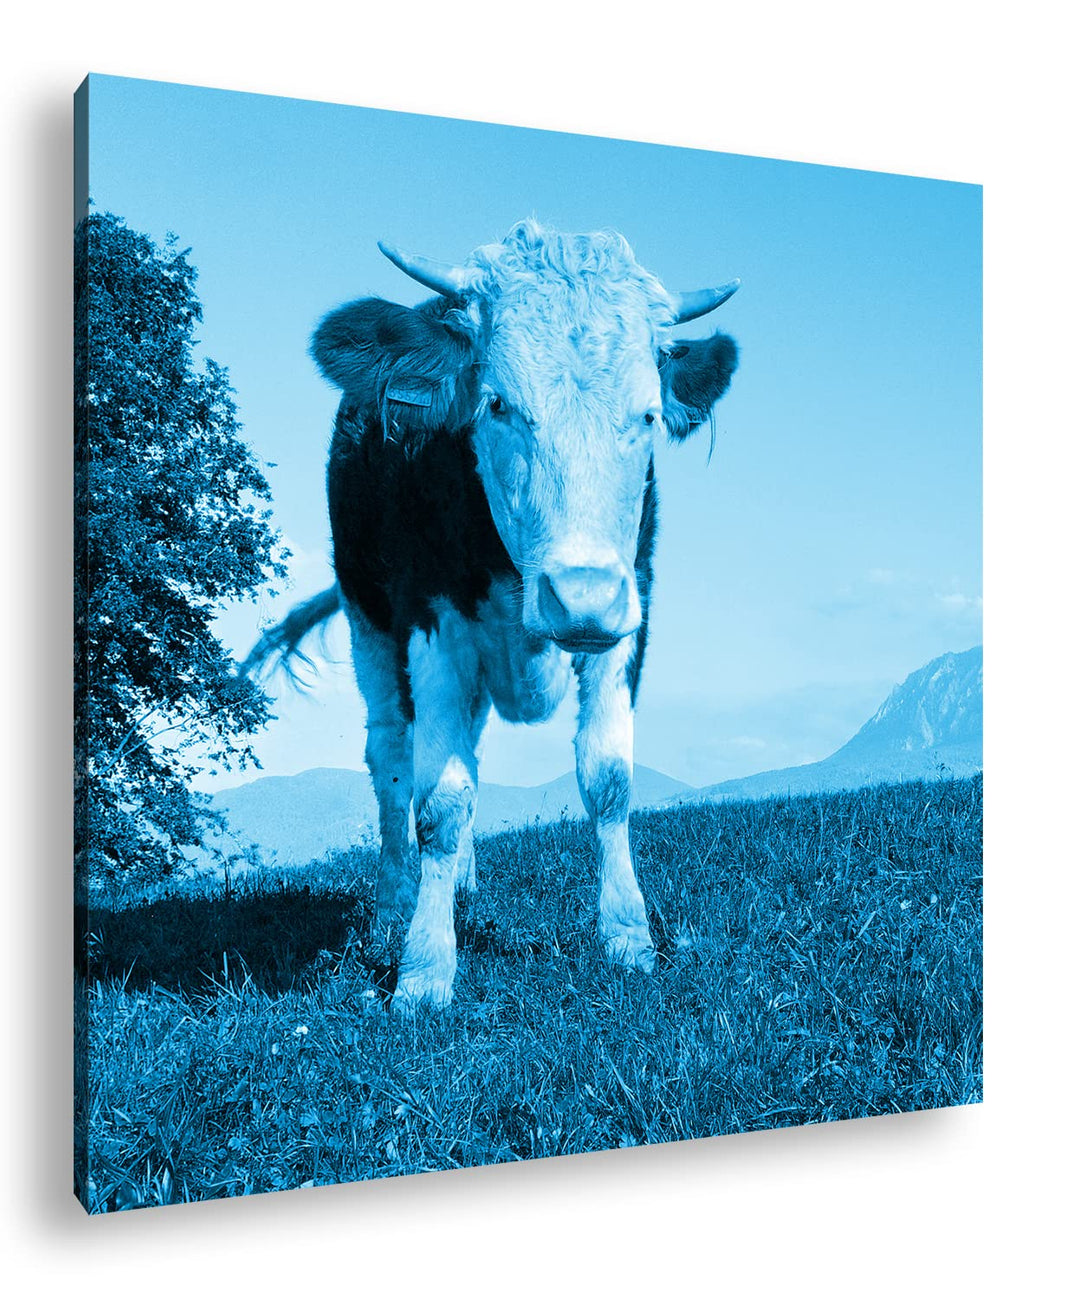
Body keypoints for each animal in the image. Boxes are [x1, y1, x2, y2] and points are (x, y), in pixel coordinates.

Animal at [246, 219, 739, 1010]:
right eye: (498, 404)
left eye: (648, 414)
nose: (579, 597)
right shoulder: (431, 626)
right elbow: (439, 804)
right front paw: (423, 969)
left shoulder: (630, 603)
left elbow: (608, 780)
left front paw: (629, 938)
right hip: (368, 622)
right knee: (390, 762)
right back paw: (393, 909)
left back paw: (463, 887)